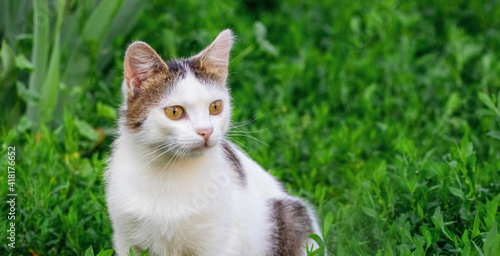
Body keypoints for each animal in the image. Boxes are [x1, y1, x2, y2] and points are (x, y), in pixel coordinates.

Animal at [106, 30, 324, 256]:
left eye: (215, 107)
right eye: (174, 112)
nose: (206, 131)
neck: (169, 171)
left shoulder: (218, 242)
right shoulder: (126, 240)